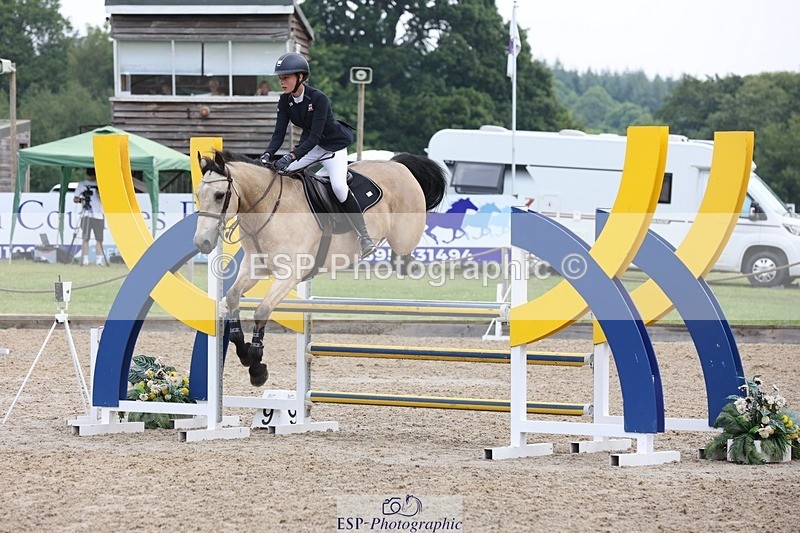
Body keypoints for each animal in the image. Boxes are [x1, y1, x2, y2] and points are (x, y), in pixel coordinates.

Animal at [193, 150, 447, 386]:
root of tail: (398, 165)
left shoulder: (290, 273)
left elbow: (262, 311)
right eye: (198, 195)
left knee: (404, 252)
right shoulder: (255, 265)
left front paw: (257, 366)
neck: (267, 207)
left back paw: (406, 263)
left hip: (404, 235)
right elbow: (232, 297)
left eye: (219, 195)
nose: (202, 243)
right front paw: (244, 352)